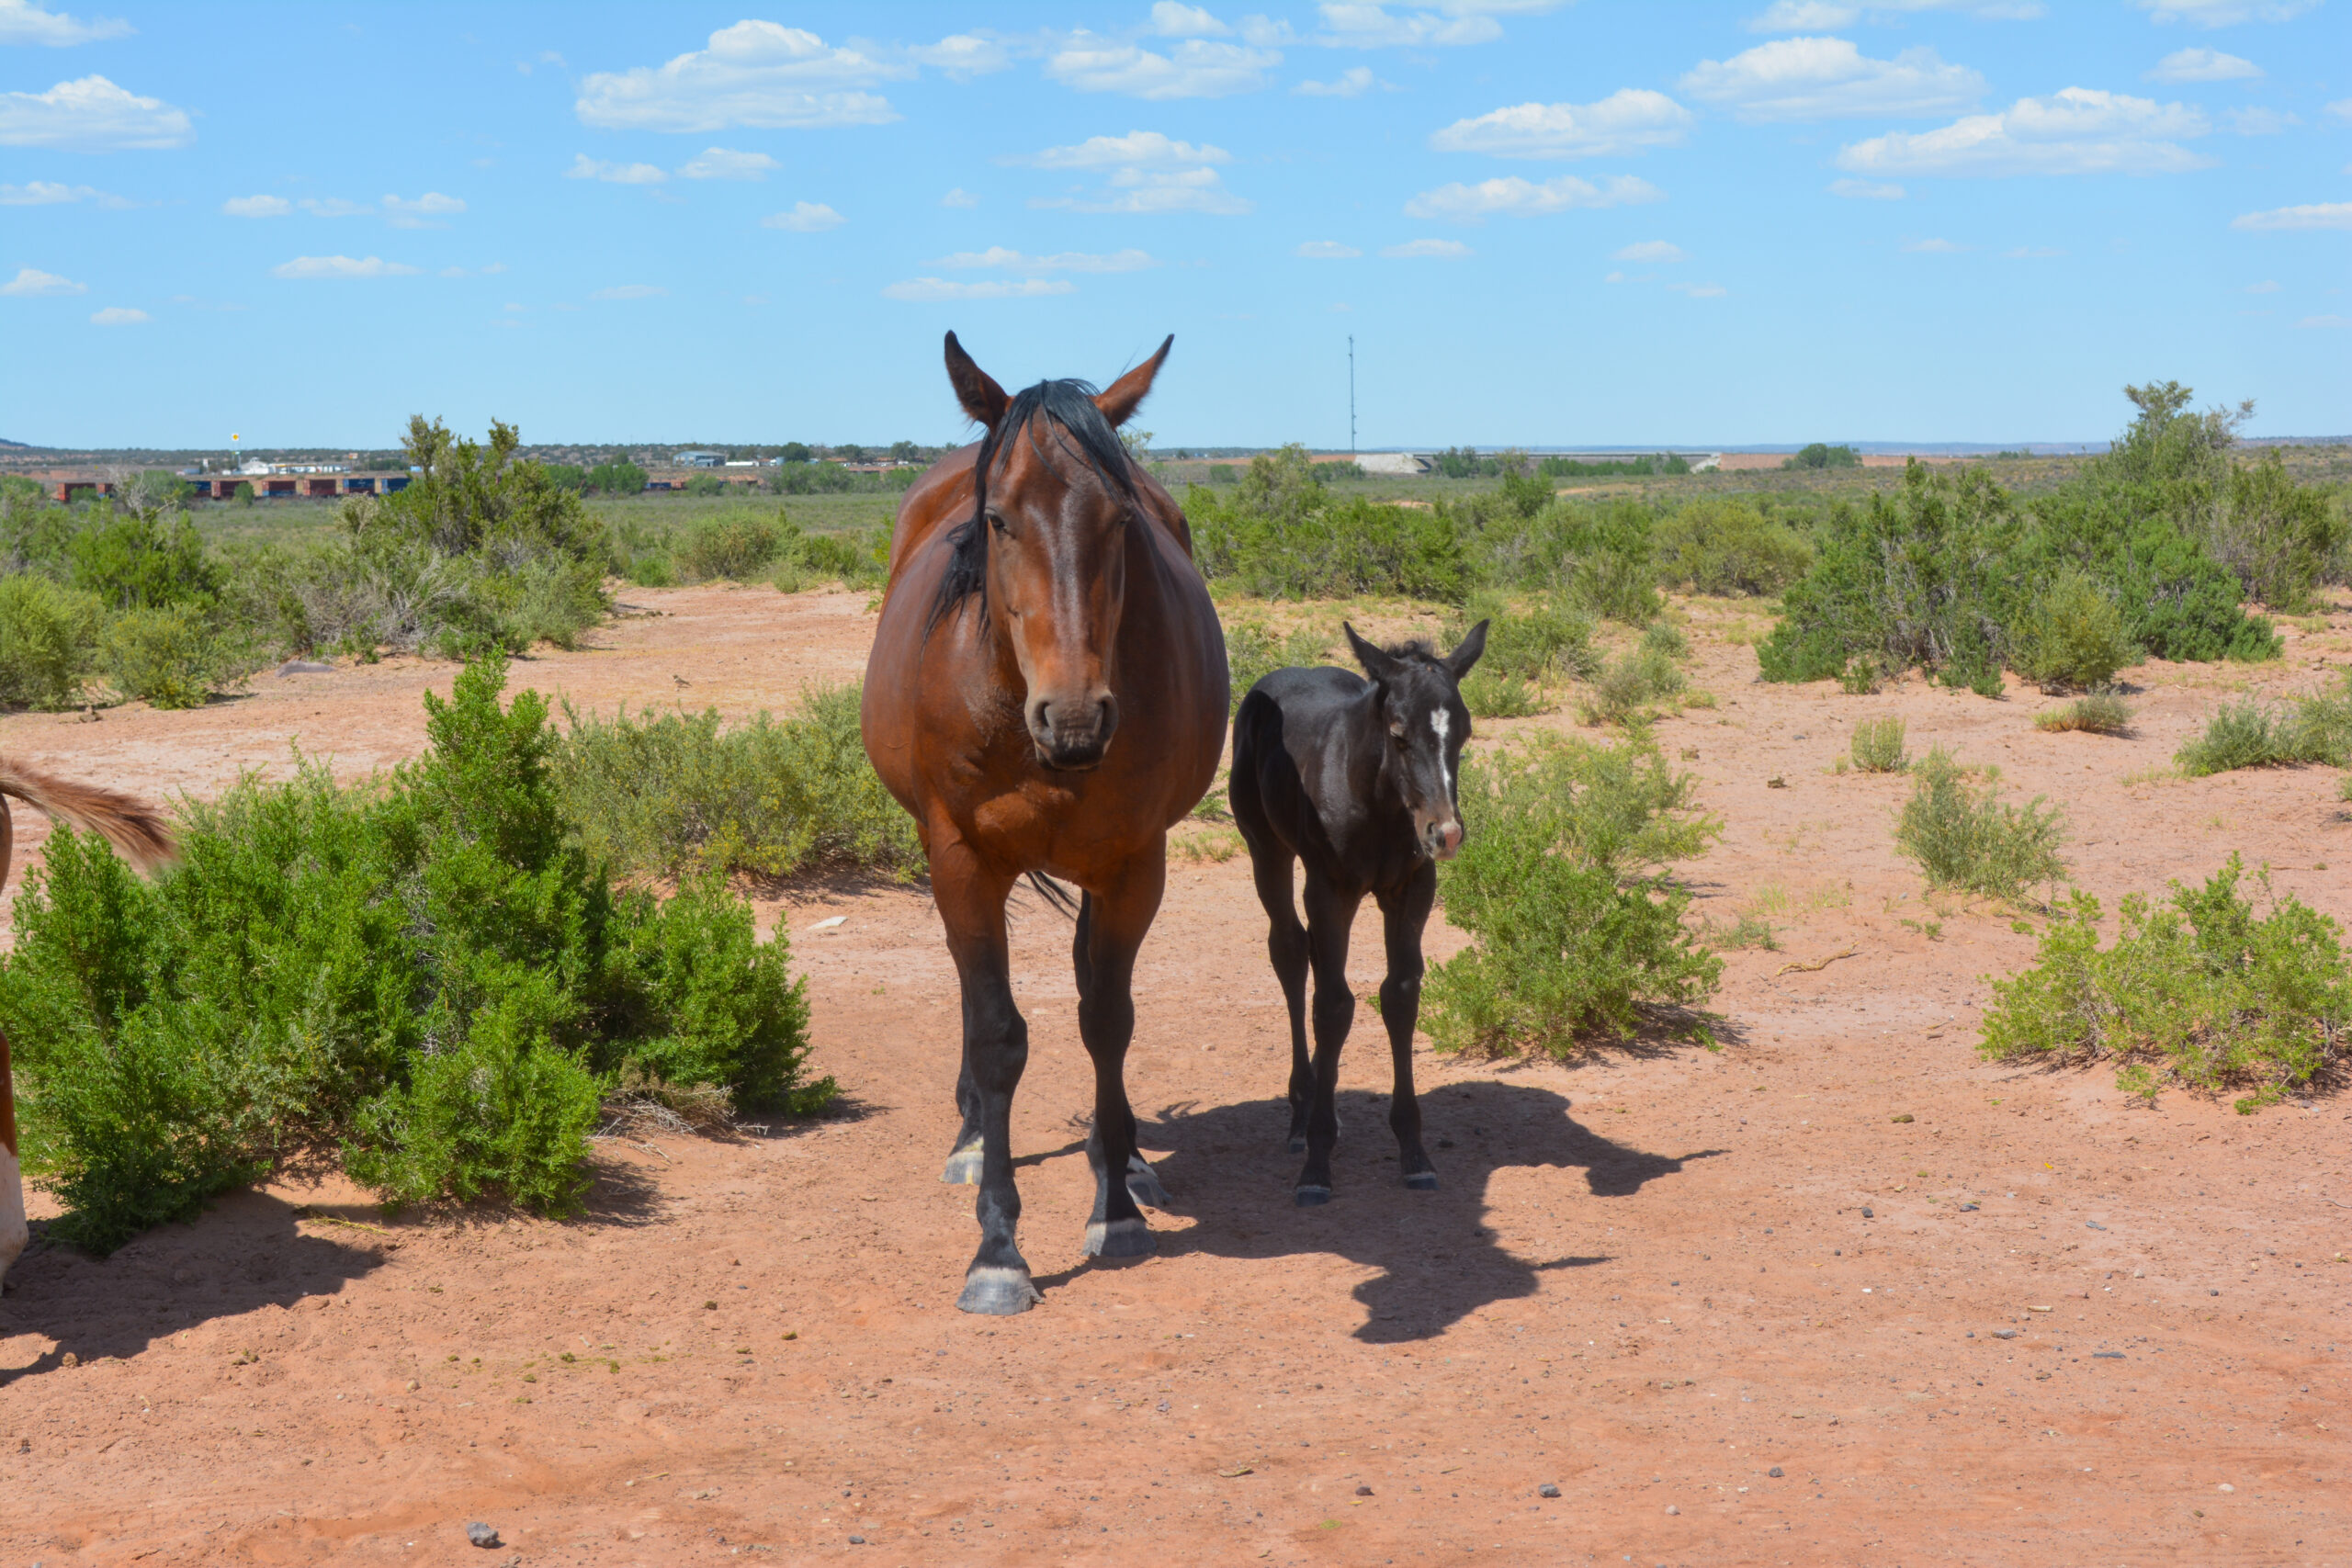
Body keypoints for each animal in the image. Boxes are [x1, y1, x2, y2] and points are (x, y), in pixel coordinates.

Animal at [860, 332, 1228, 1315]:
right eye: (996, 519)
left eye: (1123, 521)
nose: (1075, 719)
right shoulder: (959, 857)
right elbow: (996, 1034)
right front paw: (997, 1249)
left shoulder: (1136, 860)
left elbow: (1107, 1018)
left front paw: (1118, 1209)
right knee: (969, 992)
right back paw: (970, 1140)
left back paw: (1125, 1157)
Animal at [1228, 621, 1487, 1206]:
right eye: (1398, 734)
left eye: (1462, 734)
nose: (1445, 833)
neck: (1380, 804)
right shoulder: (1331, 891)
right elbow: (1333, 1006)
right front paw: (1317, 1162)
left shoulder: (1412, 890)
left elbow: (1399, 996)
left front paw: (1414, 1153)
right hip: (1265, 850)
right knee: (1290, 952)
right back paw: (1301, 1114)